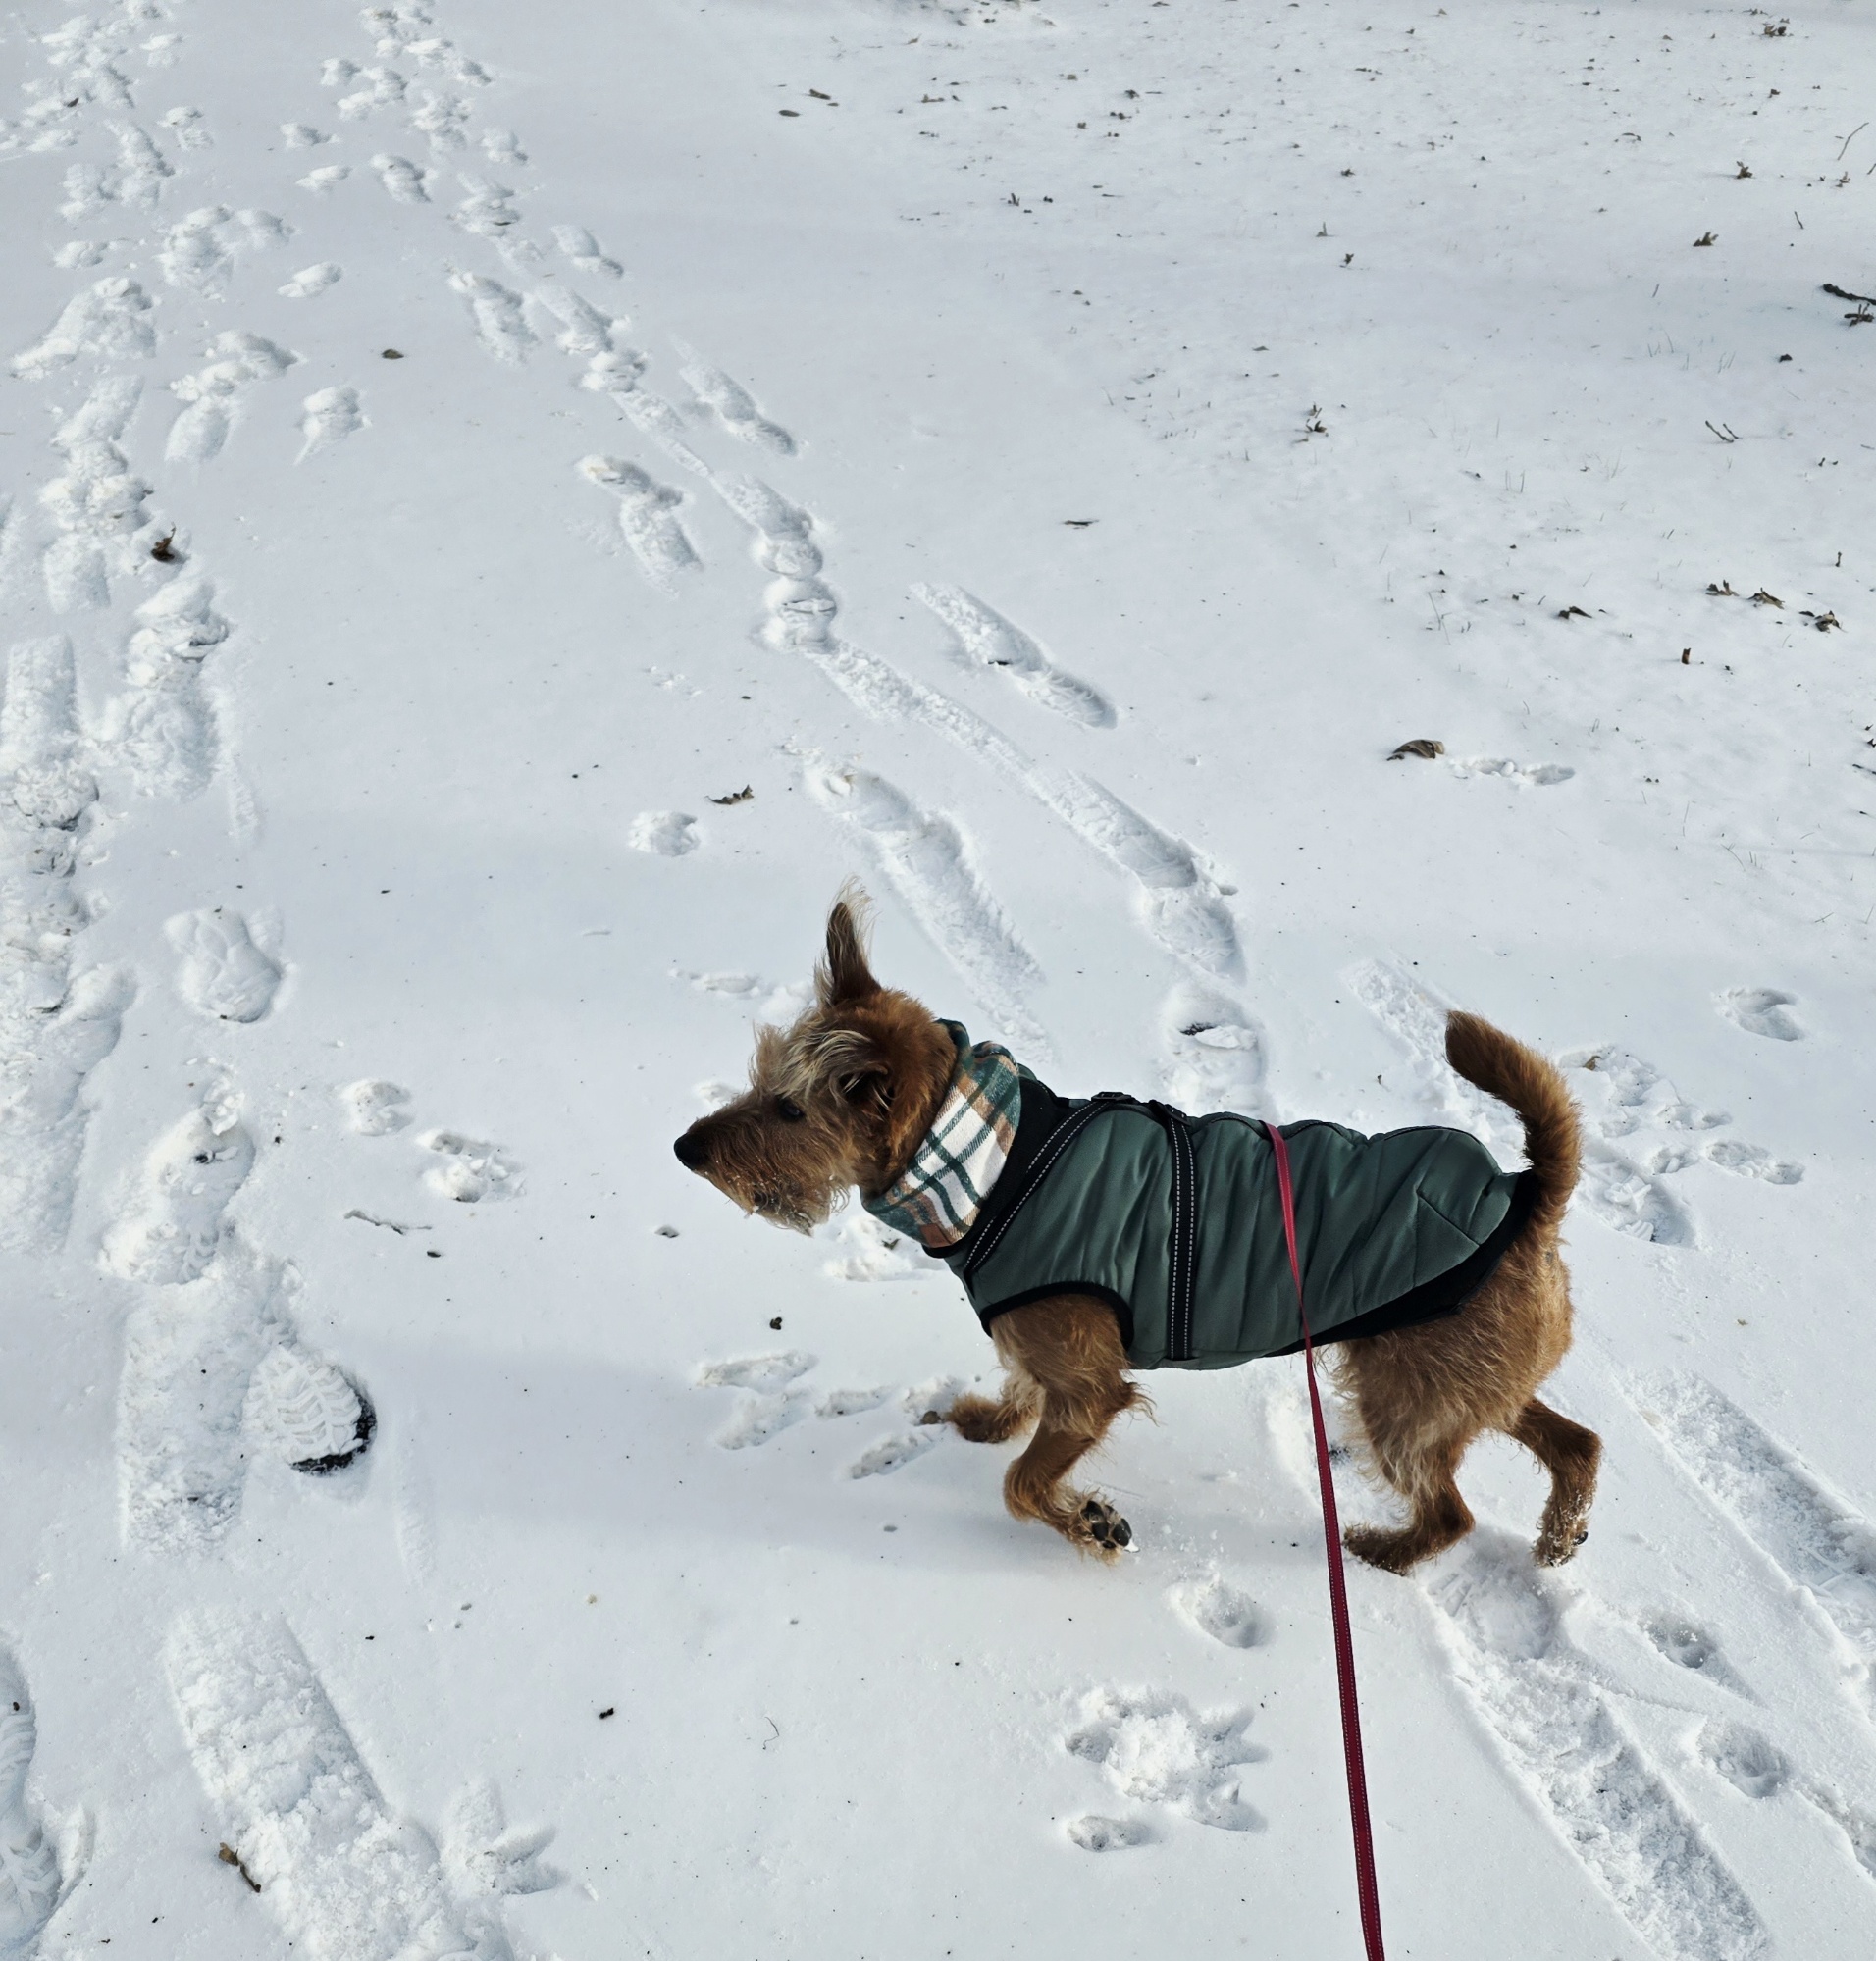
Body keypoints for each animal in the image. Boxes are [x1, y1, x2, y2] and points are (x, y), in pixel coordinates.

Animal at [674, 889, 1600, 1571]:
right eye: (761, 1083)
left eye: (788, 1109)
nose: (686, 1148)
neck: (997, 1164)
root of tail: (1525, 1194)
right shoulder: (1040, 1353)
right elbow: (1018, 1394)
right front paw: (990, 1420)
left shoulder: (1089, 1389)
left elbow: (1021, 1482)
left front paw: (1088, 1521)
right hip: (1457, 1383)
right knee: (1578, 1442)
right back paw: (1559, 1536)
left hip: (1405, 1402)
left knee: (1454, 1512)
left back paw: (1391, 1552)